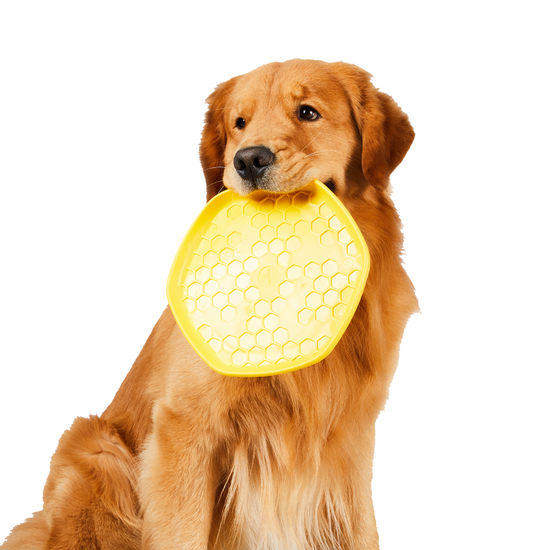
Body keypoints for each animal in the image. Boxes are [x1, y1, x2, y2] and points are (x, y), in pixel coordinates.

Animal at [3, 57, 422, 550]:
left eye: (308, 112)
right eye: (239, 123)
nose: (249, 159)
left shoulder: (351, 442)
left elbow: (361, 529)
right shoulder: (183, 428)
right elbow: (181, 533)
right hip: (97, 448)